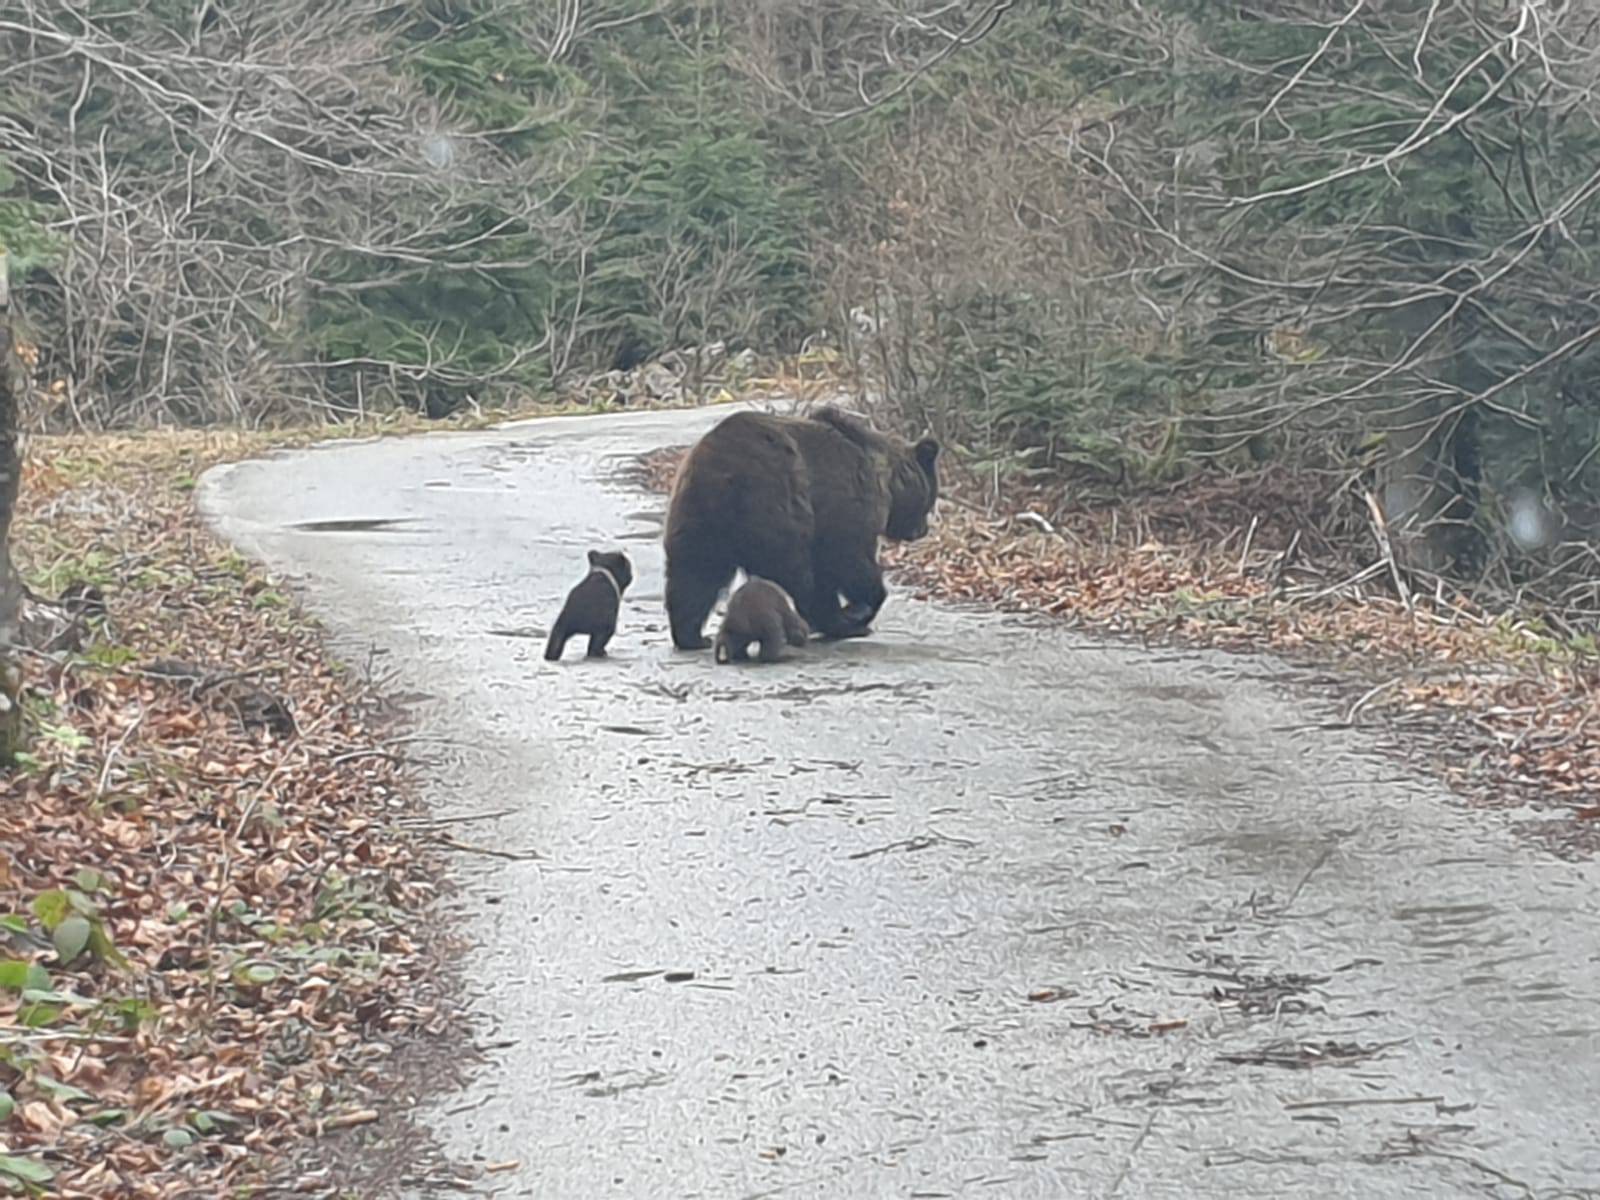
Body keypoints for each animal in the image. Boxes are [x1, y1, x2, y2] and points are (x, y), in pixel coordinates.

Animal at [662, 406, 934, 652]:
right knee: (799, 573)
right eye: (929, 501)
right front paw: (860, 608)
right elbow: (847, 559)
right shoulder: (845, 502)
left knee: (694, 574)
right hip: (776, 505)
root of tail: (720, 474)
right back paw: (836, 623)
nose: (922, 530)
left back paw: (692, 637)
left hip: (697, 517)